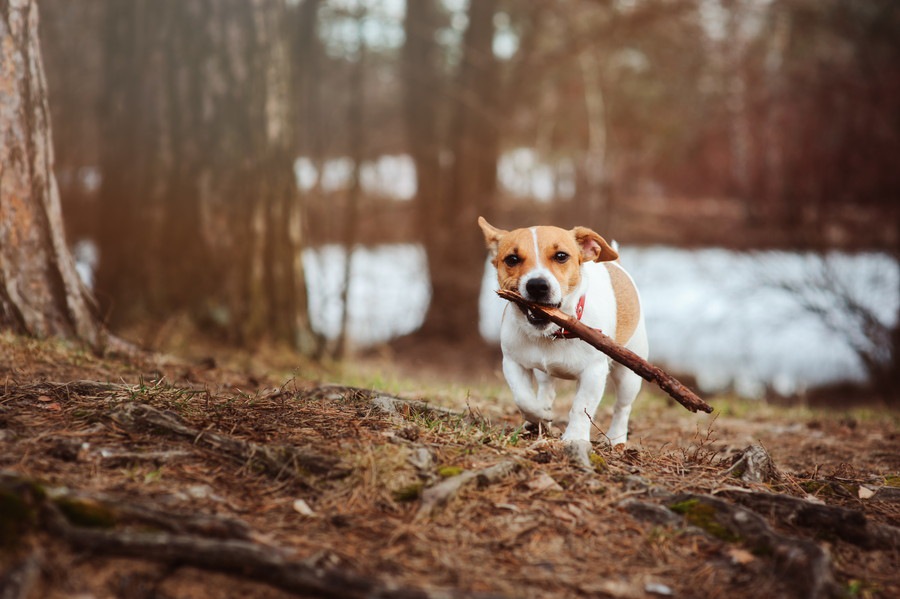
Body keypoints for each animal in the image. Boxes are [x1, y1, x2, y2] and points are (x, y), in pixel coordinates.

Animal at [478, 217, 648, 450]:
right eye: (512, 259)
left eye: (561, 256)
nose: (537, 285)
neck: (554, 333)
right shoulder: (513, 363)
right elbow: (523, 399)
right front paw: (540, 416)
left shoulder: (594, 373)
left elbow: (581, 407)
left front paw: (575, 437)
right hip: (543, 372)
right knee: (546, 389)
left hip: (629, 375)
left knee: (622, 407)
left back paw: (616, 439)